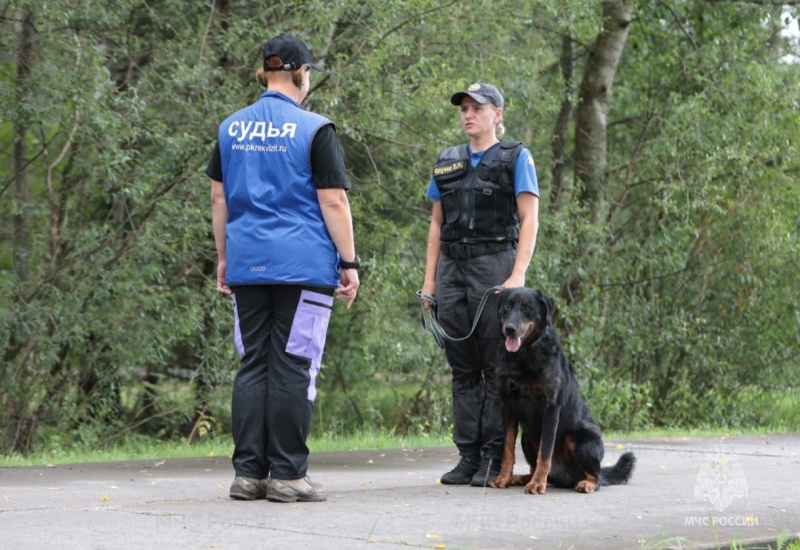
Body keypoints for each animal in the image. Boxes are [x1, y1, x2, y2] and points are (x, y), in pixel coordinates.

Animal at [488, 288, 636, 496]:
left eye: (527, 307)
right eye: (507, 306)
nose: (510, 329)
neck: (524, 354)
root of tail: (566, 476)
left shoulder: (551, 408)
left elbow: (545, 454)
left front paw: (537, 484)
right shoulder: (508, 406)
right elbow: (508, 449)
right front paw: (503, 478)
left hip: (581, 435)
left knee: (596, 476)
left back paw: (586, 483)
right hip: (527, 436)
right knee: (533, 466)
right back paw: (520, 478)